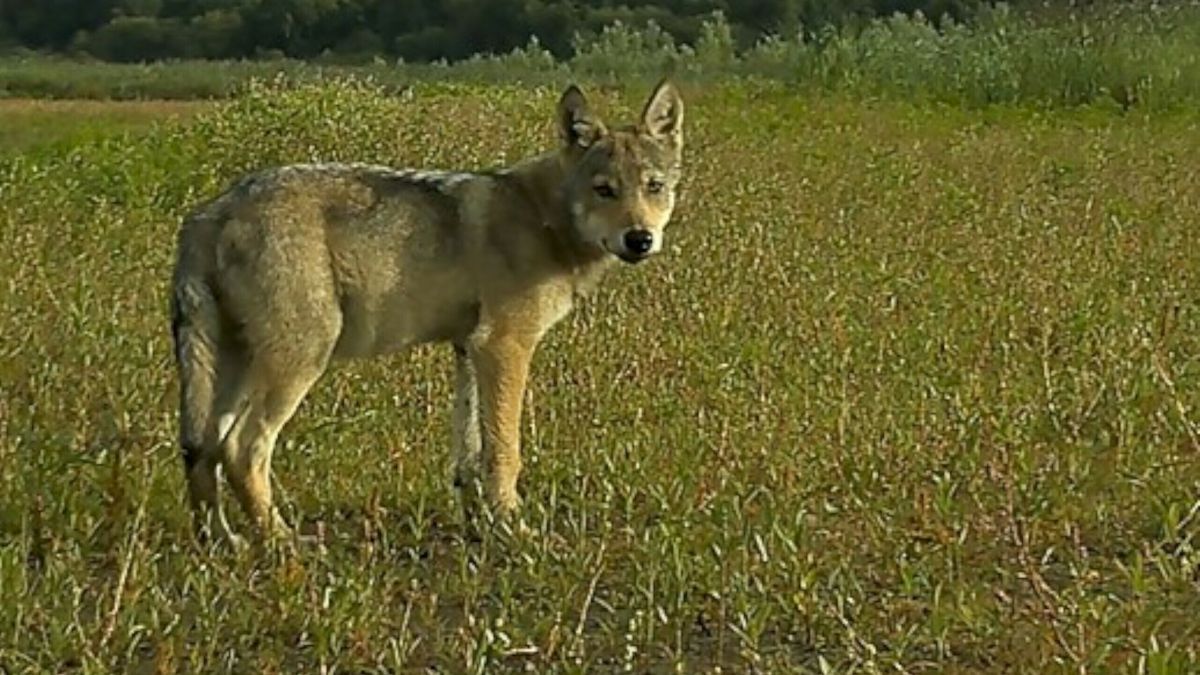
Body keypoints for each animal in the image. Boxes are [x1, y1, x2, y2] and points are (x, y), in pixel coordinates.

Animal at [169, 81, 685, 545]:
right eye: (605, 190)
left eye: (653, 187)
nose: (640, 239)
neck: (544, 218)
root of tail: (208, 214)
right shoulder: (505, 346)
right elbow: (505, 451)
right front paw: (515, 530)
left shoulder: (469, 349)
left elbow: (470, 456)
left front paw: (480, 527)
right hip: (300, 360)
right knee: (241, 449)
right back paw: (282, 542)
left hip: (231, 373)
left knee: (202, 449)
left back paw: (220, 544)